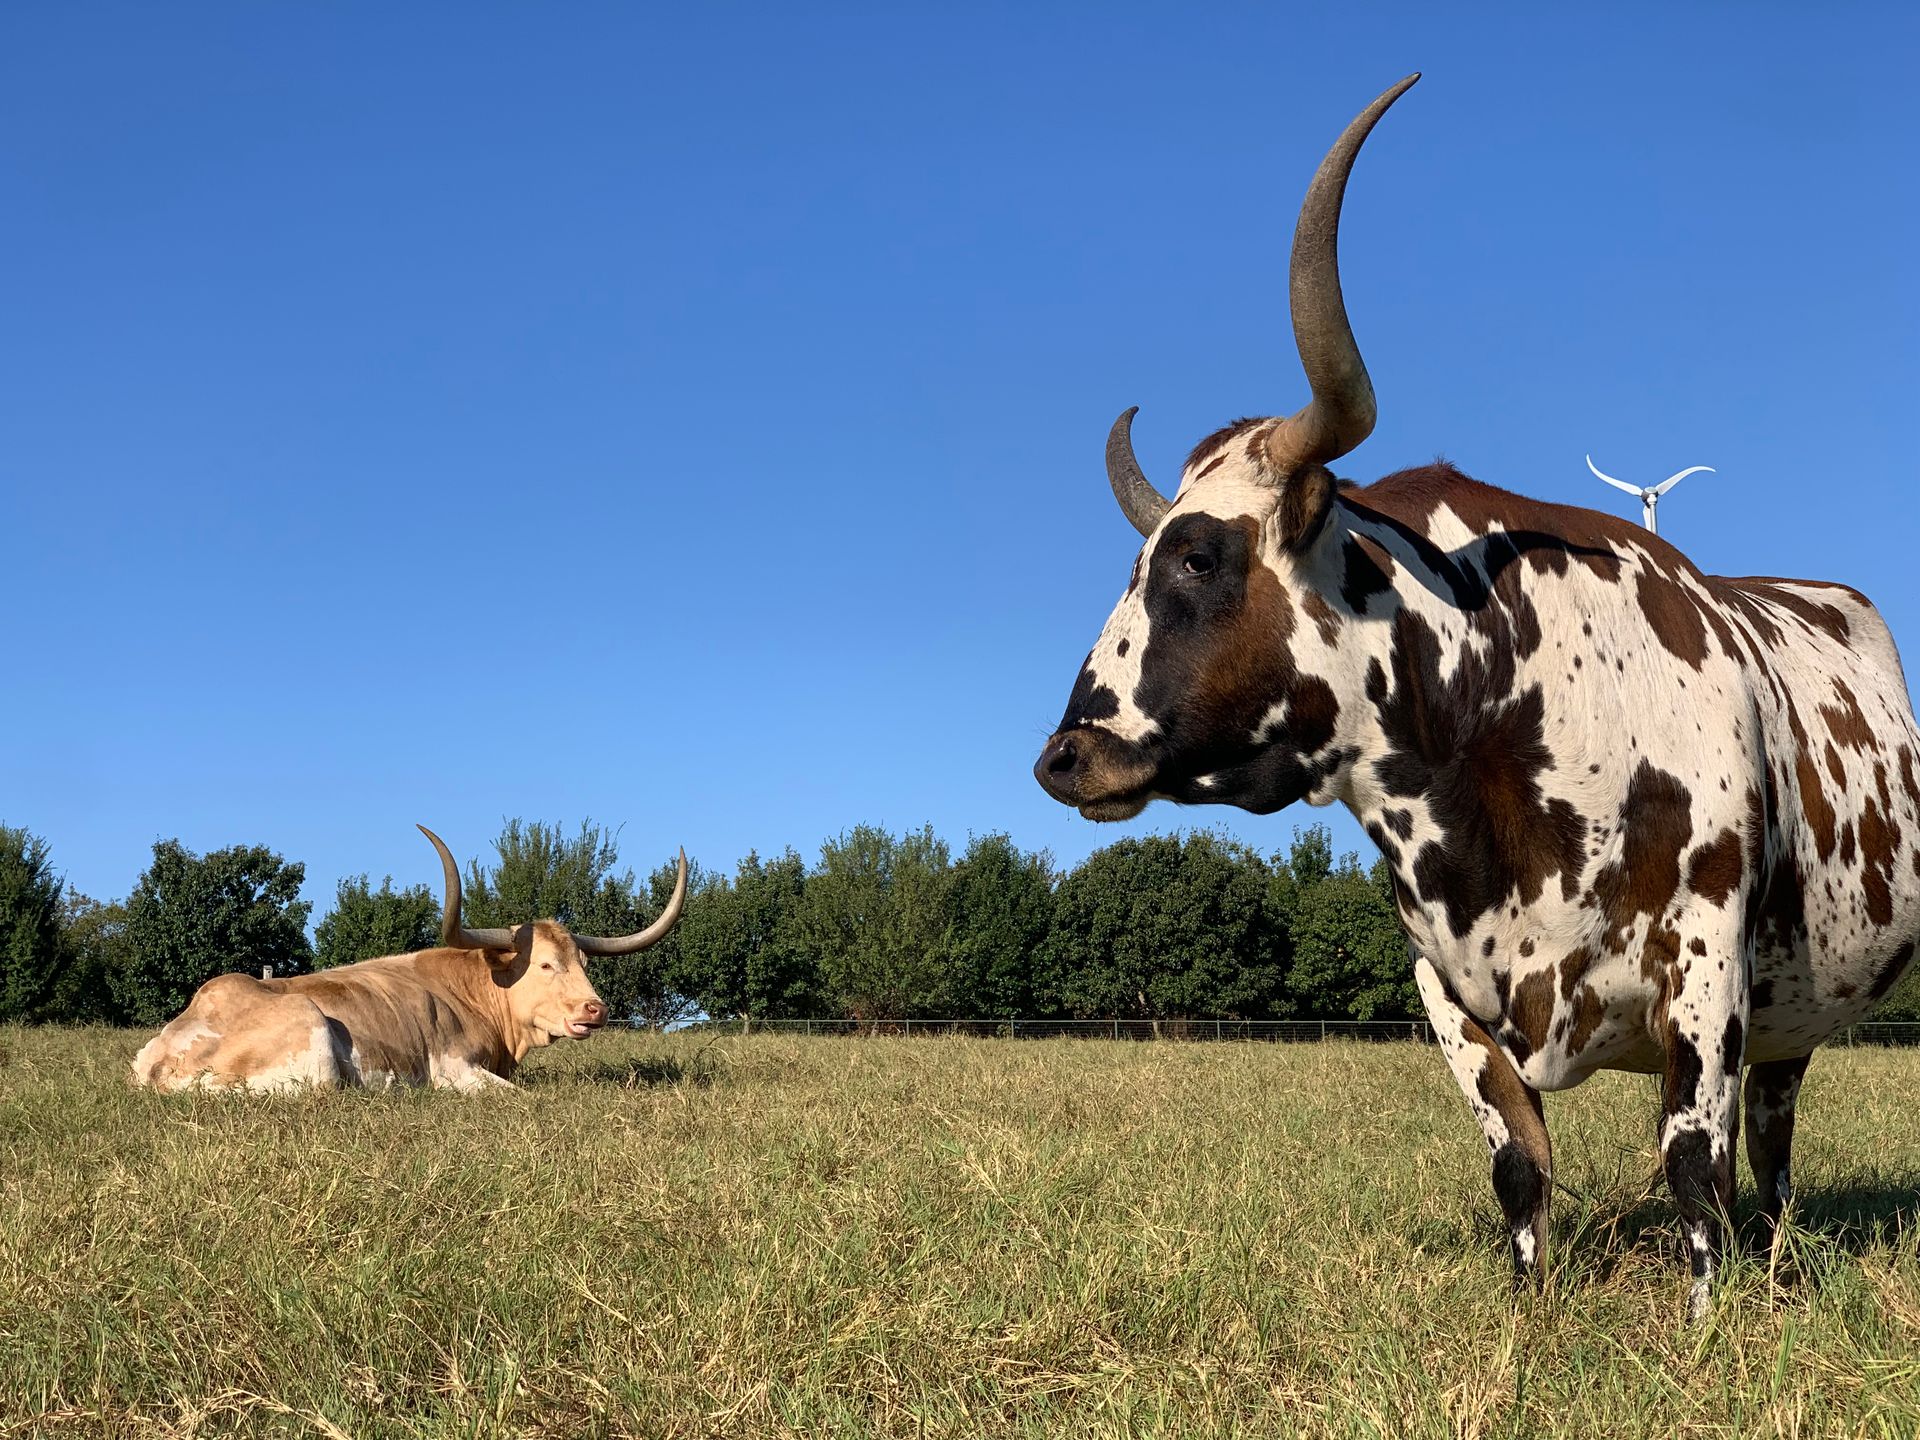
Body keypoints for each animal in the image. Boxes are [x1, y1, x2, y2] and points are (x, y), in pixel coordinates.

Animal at [1032, 74, 1920, 1320]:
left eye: (1200, 558)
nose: (1068, 755)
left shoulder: (1707, 966)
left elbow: (1694, 1165)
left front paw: (1707, 1328)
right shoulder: (1444, 985)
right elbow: (1520, 1165)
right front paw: (1530, 1315)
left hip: (1785, 1001)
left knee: (1768, 1147)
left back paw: (1777, 1264)